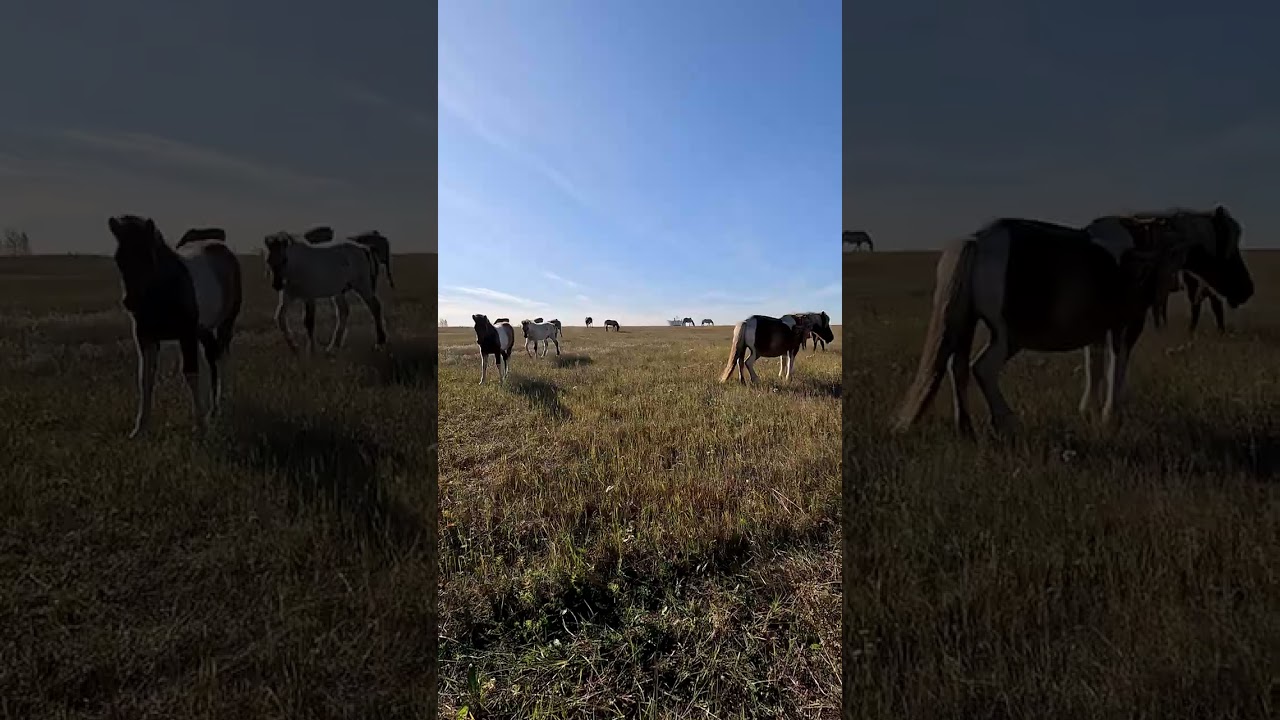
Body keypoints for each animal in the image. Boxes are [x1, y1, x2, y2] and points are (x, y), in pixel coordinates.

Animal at [108, 215, 243, 438]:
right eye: (119, 259)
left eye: (149, 257)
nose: (130, 301)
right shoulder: (145, 338)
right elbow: (145, 378)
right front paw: (140, 429)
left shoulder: (186, 334)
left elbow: (191, 373)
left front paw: (200, 425)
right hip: (204, 330)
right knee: (212, 357)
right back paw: (213, 410)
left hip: (225, 323)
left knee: (221, 358)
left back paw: (218, 409)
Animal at [892, 206, 1254, 437]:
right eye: (1229, 246)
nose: (1247, 290)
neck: (1146, 246)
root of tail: (978, 241)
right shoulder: (1126, 326)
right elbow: (1116, 366)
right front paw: (1110, 416)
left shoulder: (1096, 329)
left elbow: (1094, 366)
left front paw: (1089, 412)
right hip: (1009, 337)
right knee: (983, 369)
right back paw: (1007, 422)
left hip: (967, 325)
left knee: (959, 368)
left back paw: (965, 428)